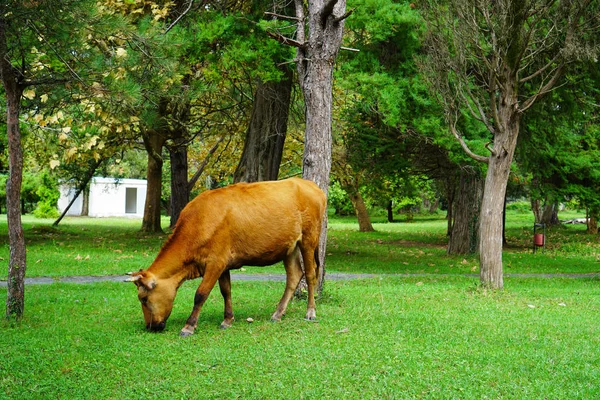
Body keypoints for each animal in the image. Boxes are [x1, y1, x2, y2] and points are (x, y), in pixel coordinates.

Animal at [123, 177, 326, 336]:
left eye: (143, 298)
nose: (150, 327)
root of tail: (313, 186)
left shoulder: (216, 262)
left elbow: (201, 294)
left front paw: (189, 326)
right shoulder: (224, 263)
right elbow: (226, 290)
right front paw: (228, 319)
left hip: (309, 239)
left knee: (310, 274)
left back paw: (310, 312)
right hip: (289, 247)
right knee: (294, 275)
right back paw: (278, 313)